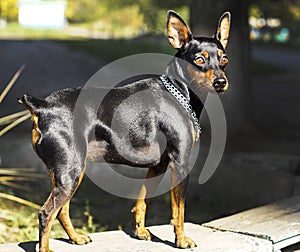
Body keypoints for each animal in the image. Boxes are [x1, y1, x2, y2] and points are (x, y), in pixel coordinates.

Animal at [18, 10, 231, 252]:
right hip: (70, 171)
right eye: (199, 60)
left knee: (61, 210)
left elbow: (143, 200)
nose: (220, 82)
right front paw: (181, 240)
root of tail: (42, 106)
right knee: (46, 212)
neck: (179, 92)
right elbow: (179, 211)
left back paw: (76, 238)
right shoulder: (180, 163)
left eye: (224, 60)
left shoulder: (158, 165)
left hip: (68, 172)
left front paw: (140, 232)